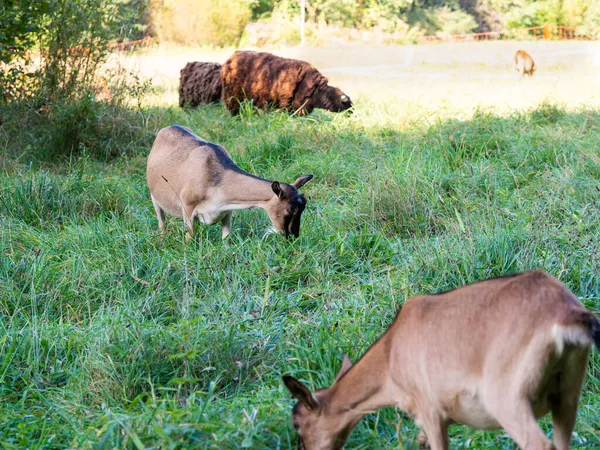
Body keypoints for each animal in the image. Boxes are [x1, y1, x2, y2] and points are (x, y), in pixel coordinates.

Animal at [146, 125, 314, 239]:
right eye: (290, 210)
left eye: (303, 207)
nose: (292, 236)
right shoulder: (187, 207)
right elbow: (190, 237)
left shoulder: (227, 211)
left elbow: (226, 238)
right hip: (154, 196)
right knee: (161, 221)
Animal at [284, 270, 600, 450]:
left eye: (297, 424)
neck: (389, 357)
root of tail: (567, 315)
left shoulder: (430, 410)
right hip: (568, 394)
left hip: (508, 399)